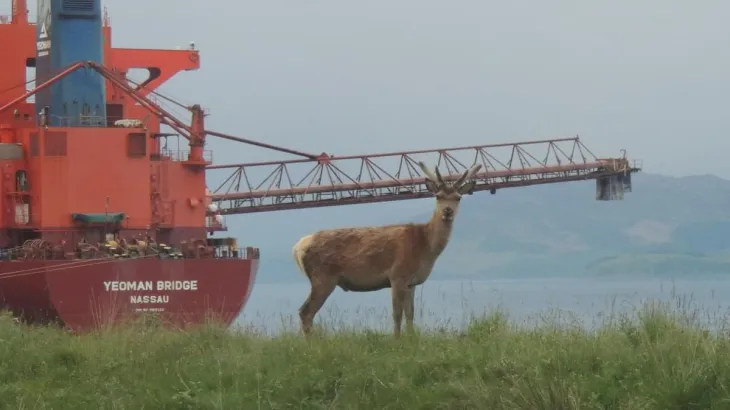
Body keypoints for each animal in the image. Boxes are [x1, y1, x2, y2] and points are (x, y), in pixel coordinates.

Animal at [292, 161, 483, 337]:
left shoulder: (411, 282)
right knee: (305, 311)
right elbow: (397, 313)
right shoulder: (397, 275)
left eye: (458, 197)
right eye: (438, 196)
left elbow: (410, 314)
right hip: (323, 277)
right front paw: (396, 339)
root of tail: (298, 247)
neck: (425, 248)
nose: (448, 211)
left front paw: (411, 338)